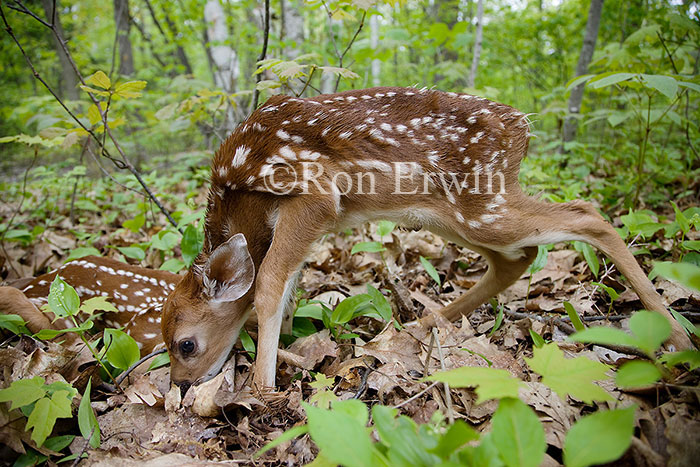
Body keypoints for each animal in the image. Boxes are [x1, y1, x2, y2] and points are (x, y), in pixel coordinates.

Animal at [161, 86, 692, 394]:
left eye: (185, 344)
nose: (179, 388)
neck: (238, 198)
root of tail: (521, 127)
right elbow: (288, 286)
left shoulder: (314, 190)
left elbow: (270, 281)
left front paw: (263, 390)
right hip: (451, 212)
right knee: (520, 257)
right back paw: (423, 324)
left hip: (480, 203)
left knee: (587, 215)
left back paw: (679, 338)